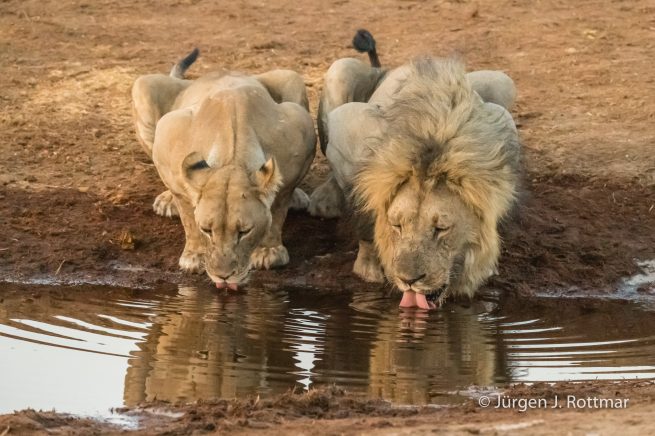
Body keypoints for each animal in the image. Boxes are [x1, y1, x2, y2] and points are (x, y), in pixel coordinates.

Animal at [131, 49, 316, 289]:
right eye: (207, 230)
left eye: (244, 231)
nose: (224, 277)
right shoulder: (168, 130)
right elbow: (187, 213)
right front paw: (194, 256)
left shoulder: (299, 130)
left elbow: (278, 207)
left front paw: (269, 251)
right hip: (142, 86)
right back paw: (166, 202)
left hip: (292, 78)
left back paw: (299, 198)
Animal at [310, 31, 520, 309]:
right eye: (397, 226)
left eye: (441, 229)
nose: (409, 280)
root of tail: (386, 69)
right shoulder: (347, 127)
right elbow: (364, 212)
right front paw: (369, 268)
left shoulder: (501, 129)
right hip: (339, 71)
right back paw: (324, 201)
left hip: (503, 81)